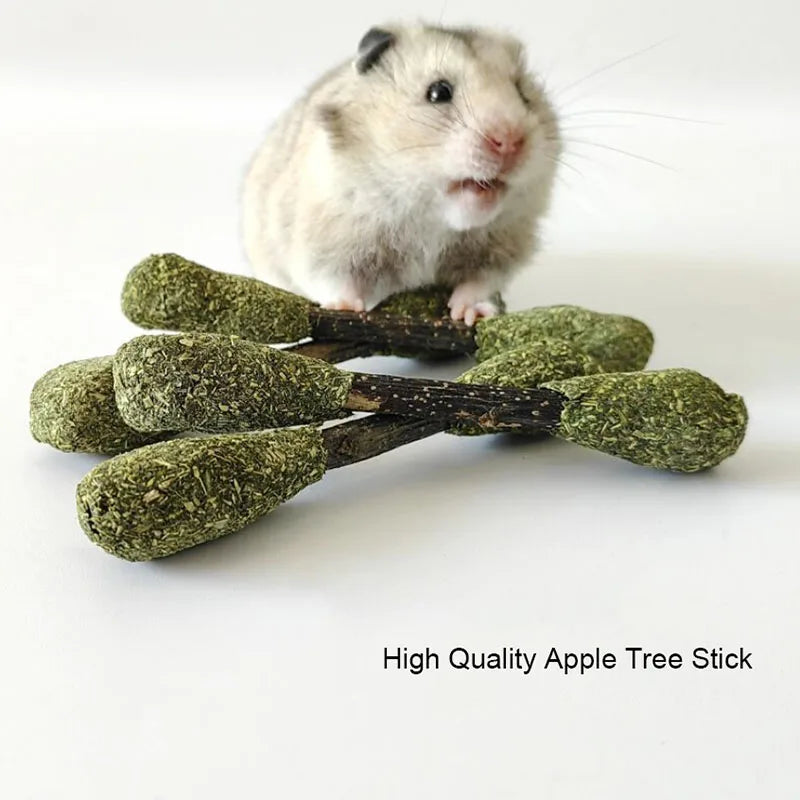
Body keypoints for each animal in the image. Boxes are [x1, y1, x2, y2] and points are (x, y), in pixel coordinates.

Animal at [242, 23, 561, 325]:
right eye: (438, 92)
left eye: (522, 93)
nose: (510, 142)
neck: (432, 220)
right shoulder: (324, 241)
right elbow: (333, 280)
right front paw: (345, 307)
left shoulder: (500, 251)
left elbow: (478, 284)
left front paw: (471, 313)